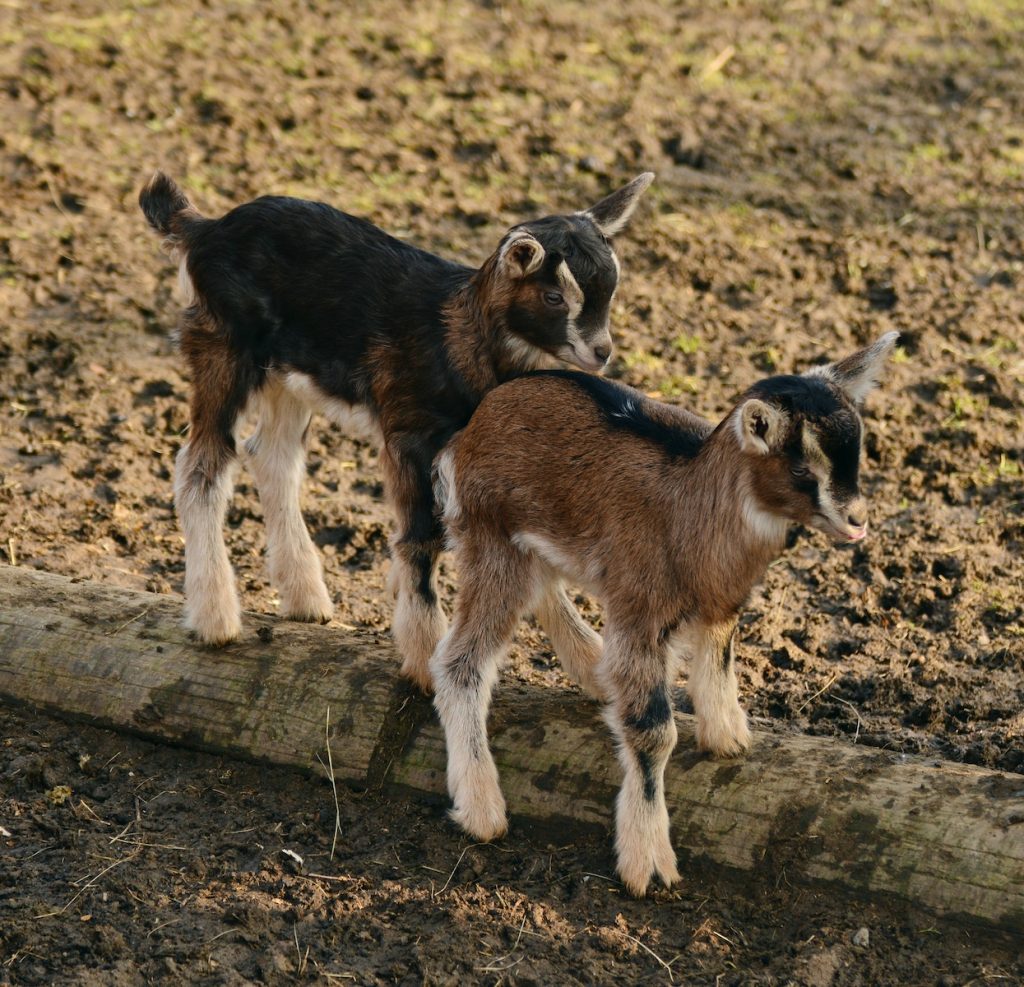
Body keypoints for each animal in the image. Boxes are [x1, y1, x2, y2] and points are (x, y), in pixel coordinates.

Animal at [138, 172, 655, 688]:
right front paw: (425, 658)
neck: (457, 339)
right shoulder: (409, 435)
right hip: (222, 345)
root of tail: (204, 229)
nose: (601, 352)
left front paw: (589, 664)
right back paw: (215, 619)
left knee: (272, 457)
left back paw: (306, 598)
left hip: (289, 373)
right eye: (554, 296)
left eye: (610, 290)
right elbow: (421, 538)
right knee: (202, 465)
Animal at [428, 331, 901, 892]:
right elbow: (653, 730)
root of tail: (472, 427)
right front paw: (649, 863)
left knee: (542, 590)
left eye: (857, 452)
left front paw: (728, 738)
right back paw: (482, 809)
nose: (857, 521)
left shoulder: (720, 603)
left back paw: (593, 670)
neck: (689, 506)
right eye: (802, 467)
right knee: (460, 662)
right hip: (491, 538)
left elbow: (718, 659)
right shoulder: (641, 612)